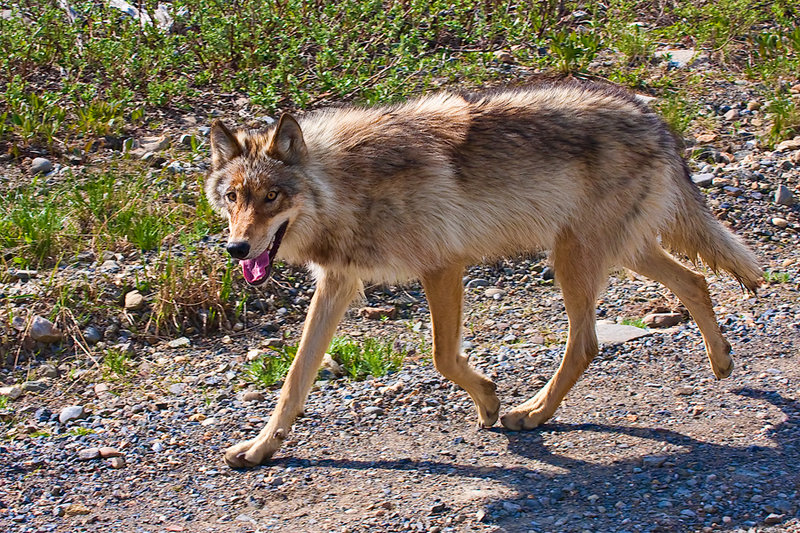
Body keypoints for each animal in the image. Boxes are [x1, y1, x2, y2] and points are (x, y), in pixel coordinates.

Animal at [205, 80, 762, 468]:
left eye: (271, 196)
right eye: (233, 197)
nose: (236, 248)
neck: (346, 185)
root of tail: (653, 117)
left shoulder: (443, 266)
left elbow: (443, 356)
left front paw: (491, 402)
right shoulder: (337, 283)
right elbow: (295, 379)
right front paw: (260, 449)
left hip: (573, 258)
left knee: (586, 344)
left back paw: (532, 413)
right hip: (620, 252)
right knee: (695, 281)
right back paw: (721, 362)